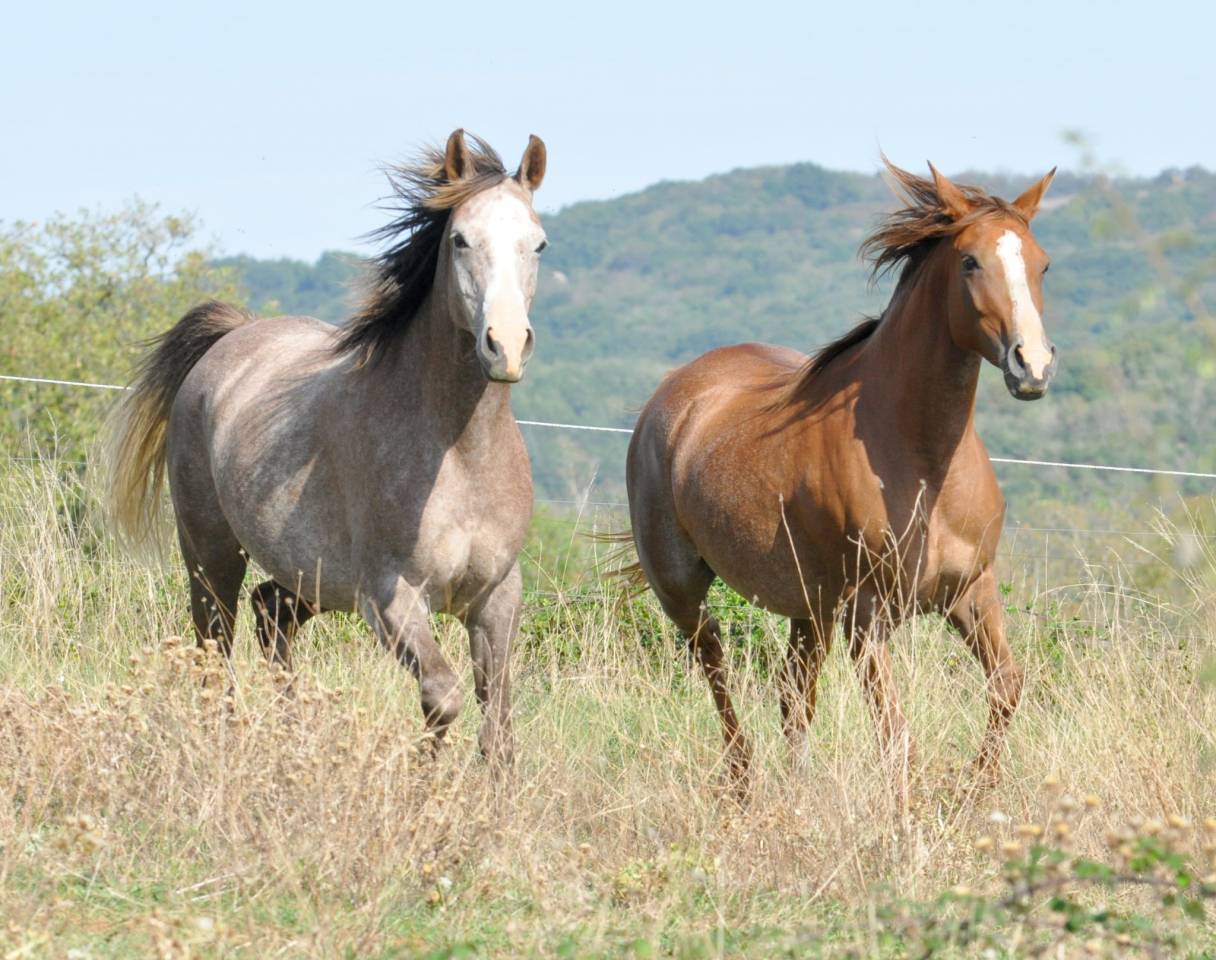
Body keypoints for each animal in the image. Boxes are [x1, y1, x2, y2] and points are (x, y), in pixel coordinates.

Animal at [104, 130, 549, 767]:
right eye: (461, 239)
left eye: (538, 243)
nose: (505, 346)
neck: (457, 453)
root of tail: (234, 335)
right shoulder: (389, 598)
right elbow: (443, 695)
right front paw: (424, 782)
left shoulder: (496, 596)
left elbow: (498, 728)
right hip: (211, 553)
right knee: (215, 643)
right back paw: (227, 739)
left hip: (308, 577)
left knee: (270, 616)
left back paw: (292, 738)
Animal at [625, 159, 1058, 785]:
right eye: (970, 261)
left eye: (1042, 262)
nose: (1033, 366)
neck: (924, 464)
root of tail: (671, 396)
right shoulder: (866, 617)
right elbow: (896, 739)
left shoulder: (972, 592)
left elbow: (1006, 689)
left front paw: (974, 790)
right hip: (684, 592)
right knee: (717, 672)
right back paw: (743, 783)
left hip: (809, 611)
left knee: (792, 698)